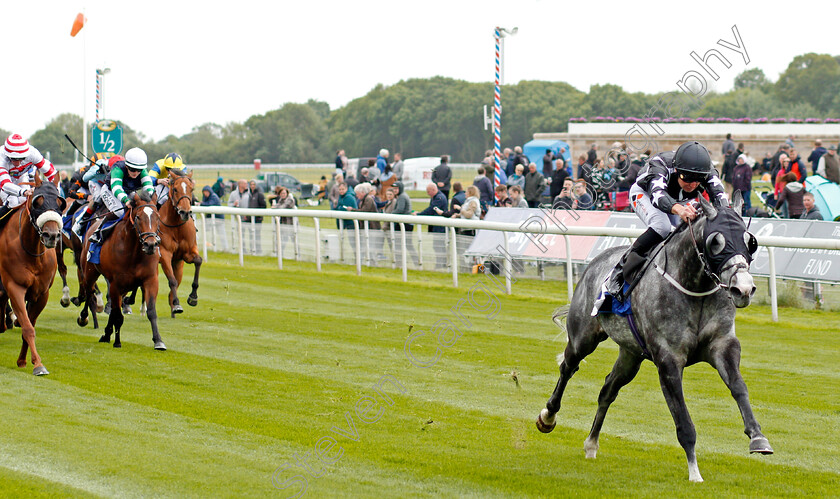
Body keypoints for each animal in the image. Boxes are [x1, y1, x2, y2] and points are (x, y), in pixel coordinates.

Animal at [0, 177, 65, 376]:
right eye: (38, 201)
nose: (51, 235)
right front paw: (38, 365)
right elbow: (28, 328)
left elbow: (28, 325)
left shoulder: (41, 293)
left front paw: (23, 360)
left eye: (60, 202)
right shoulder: (15, 287)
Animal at [77, 191, 166, 352]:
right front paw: (117, 342)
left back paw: (106, 334)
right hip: (90, 271)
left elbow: (151, 311)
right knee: (89, 291)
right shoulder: (116, 283)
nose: (150, 244)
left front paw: (158, 341)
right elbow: (117, 315)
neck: (134, 252)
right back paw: (84, 317)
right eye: (138, 217)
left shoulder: (150, 280)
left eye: (157, 217)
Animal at [540, 193, 776, 482]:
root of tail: (596, 262)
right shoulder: (668, 359)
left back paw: (591, 444)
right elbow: (683, 421)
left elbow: (739, 387)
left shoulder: (723, 345)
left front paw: (758, 438)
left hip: (631, 354)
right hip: (583, 336)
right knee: (568, 366)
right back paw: (548, 416)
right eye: (715, 242)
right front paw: (694, 472)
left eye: (750, 241)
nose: (743, 289)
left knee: (608, 389)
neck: (694, 288)